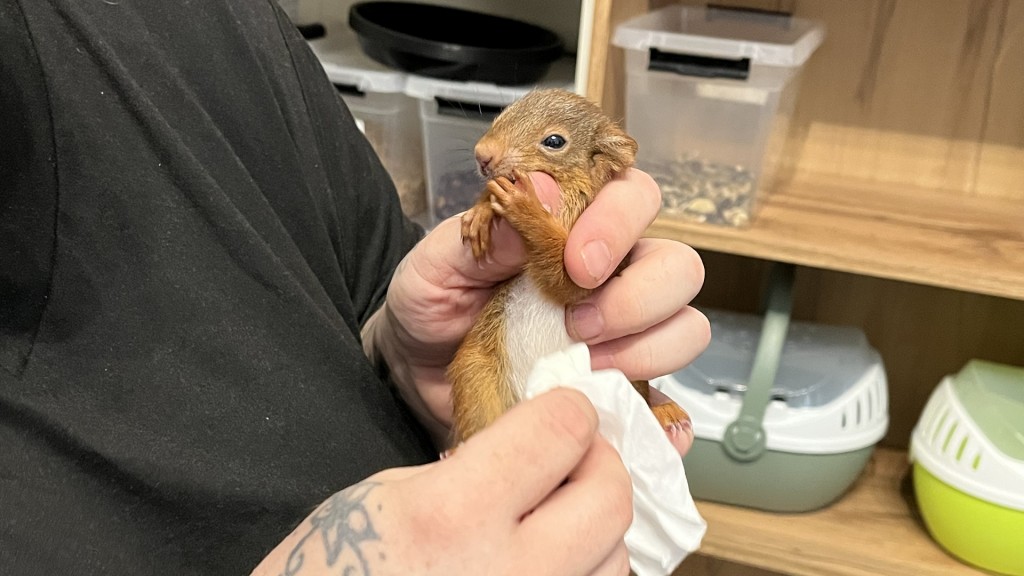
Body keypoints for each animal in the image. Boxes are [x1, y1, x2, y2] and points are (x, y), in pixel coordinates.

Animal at [447, 88, 689, 446]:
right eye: (504, 113)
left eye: (555, 141)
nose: (483, 155)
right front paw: (481, 212)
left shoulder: (595, 273)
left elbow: (567, 281)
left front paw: (525, 205)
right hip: (475, 372)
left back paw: (663, 414)